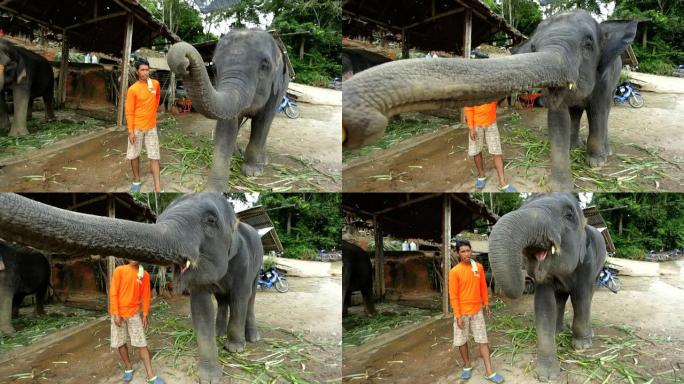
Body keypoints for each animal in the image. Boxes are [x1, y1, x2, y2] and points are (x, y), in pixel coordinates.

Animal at [0, 195, 262, 384]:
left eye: (210, 220)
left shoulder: (242, 261)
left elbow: (240, 297)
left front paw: (234, 349)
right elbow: (201, 309)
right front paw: (209, 377)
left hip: (257, 264)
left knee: (248, 298)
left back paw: (249, 338)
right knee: (224, 299)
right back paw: (220, 334)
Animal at [169, 29, 292, 191]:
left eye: (265, 65)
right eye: (214, 68)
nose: (185, 63)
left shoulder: (275, 92)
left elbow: (261, 122)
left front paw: (252, 171)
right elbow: (227, 126)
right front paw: (213, 191)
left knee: (266, 125)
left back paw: (263, 161)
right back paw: (237, 154)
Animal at [344, 11, 640, 191]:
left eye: (588, 45)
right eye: (533, 47)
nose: (360, 122)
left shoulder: (605, 75)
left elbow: (598, 109)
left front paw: (596, 163)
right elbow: (558, 118)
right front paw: (561, 188)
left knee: (601, 111)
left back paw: (603, 152)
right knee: (576, 112)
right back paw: (573, 146)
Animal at [486, 194, 604, 380]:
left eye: (569, 215)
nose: (526, 279)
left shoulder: (587, 263)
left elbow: (580, 298)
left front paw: (581, 346)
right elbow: (544, 305)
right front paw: (547, 376)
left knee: (588, 296)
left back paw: (587, 334)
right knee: (561, 299)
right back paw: (558, 330)